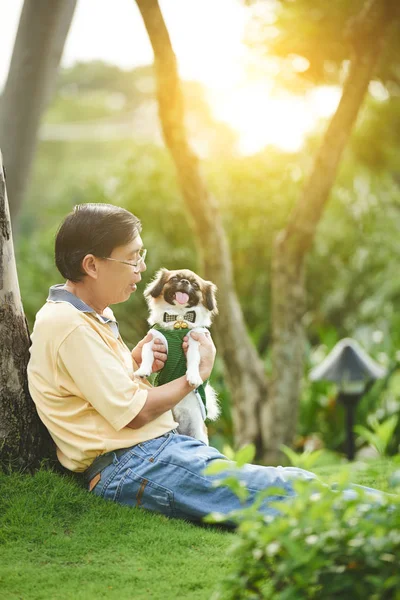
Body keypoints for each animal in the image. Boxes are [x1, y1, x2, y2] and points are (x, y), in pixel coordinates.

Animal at [136, 270, 220, 442]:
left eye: (195, 285)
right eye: (174, 279)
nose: (184, 282)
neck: (179, 319)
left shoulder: (194, 341)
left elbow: (193, 361)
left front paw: (193, 377)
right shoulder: (153, 339)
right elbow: (147, 354)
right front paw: (143, 370)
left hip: (199, 432)